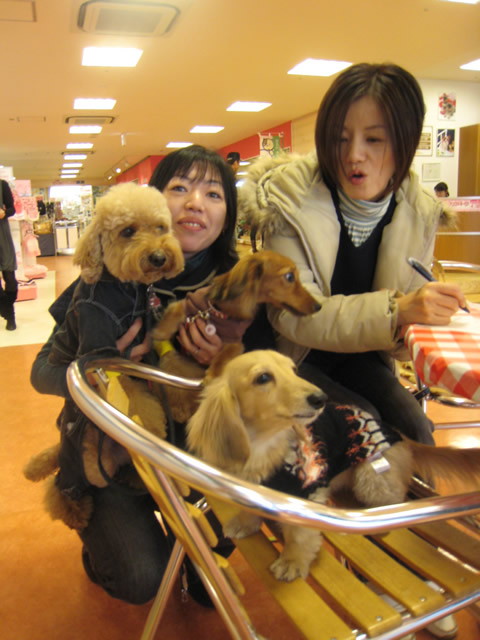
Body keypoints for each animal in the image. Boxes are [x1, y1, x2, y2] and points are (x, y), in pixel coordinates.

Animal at [24, 182, 185, 530]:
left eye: (161, 228)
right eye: (128, 231)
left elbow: (163, 346)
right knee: (63, 485)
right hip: (82, 459)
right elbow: (138, 398)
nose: (159, 256)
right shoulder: (104, 352)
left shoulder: (146, 332)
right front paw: (152, 433)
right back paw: (76, 512)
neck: (125, 289)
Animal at [151, 250, 321, 422]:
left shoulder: (235, 341)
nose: (318, 306)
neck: (220, 312)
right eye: (290, 277)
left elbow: (224, 355)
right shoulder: (191, 302)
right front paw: (160, 332)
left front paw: (213, 373)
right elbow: (176, 310)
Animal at [186, 347, 480, 582]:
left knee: (394, 499)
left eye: (293, 370)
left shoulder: (308, 496)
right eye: (263, 378)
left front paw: (292, 562)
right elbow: (249, 508)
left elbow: (299, 536)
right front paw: (244, 523)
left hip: (371, 479)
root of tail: (396, 433)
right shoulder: (249, 488)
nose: (320, 398)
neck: (264, 444)